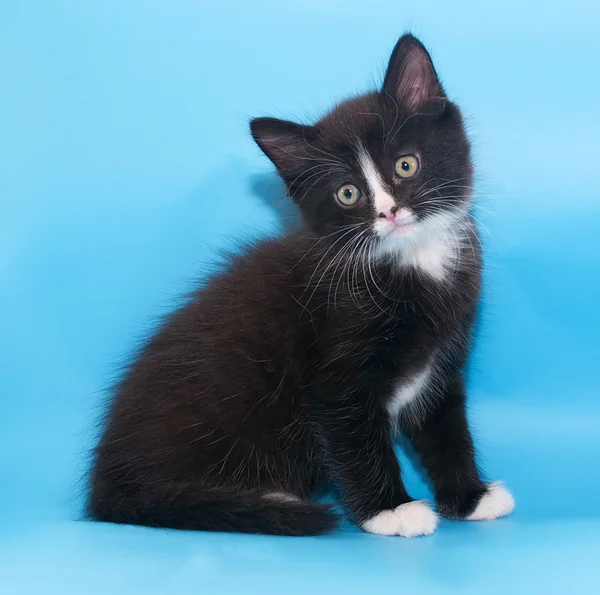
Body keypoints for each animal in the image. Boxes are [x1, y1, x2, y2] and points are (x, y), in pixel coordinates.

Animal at [89, 32, 516, 536]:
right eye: (348, 193)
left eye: (406, 165)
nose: (389, 212)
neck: (410, 264)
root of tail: (105, 491)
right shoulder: (336, 373)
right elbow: (355, 439)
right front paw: (390, 509)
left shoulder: (442, 363)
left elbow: (445, 428)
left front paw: (471, 497)